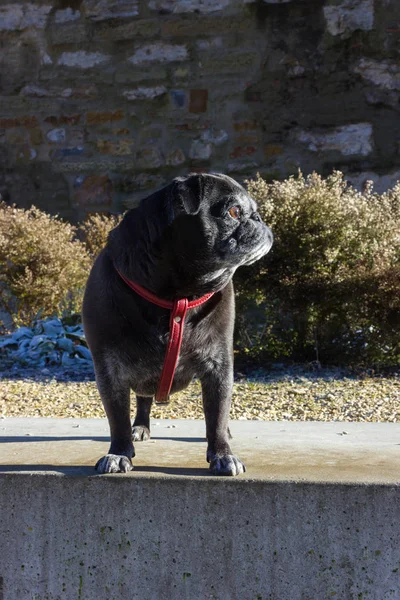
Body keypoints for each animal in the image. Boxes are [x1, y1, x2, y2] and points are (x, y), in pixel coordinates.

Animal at [83, 171, 274, 476]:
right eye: (234, 212)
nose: (259, 220)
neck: (178, 296)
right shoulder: (109, 371)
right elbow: (117, 417)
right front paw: (119, 453)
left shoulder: (218, 366)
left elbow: (217, 414)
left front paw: (223, 454)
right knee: (142, 399)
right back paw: (140, 426)